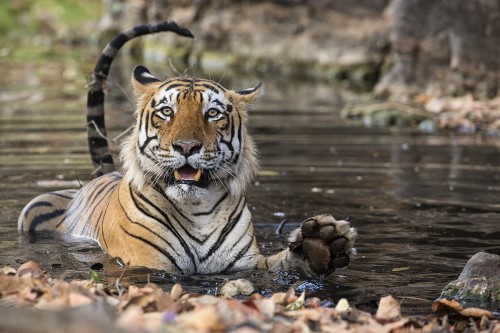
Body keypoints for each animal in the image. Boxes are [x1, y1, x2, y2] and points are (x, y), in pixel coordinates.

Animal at [18, 21, 356, 274]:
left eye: (213, 113)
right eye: (167, 111)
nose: (187, 146)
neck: (199, 212)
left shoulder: (248, 265)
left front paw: (320, 245)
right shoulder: (146, 263)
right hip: (33, 206)